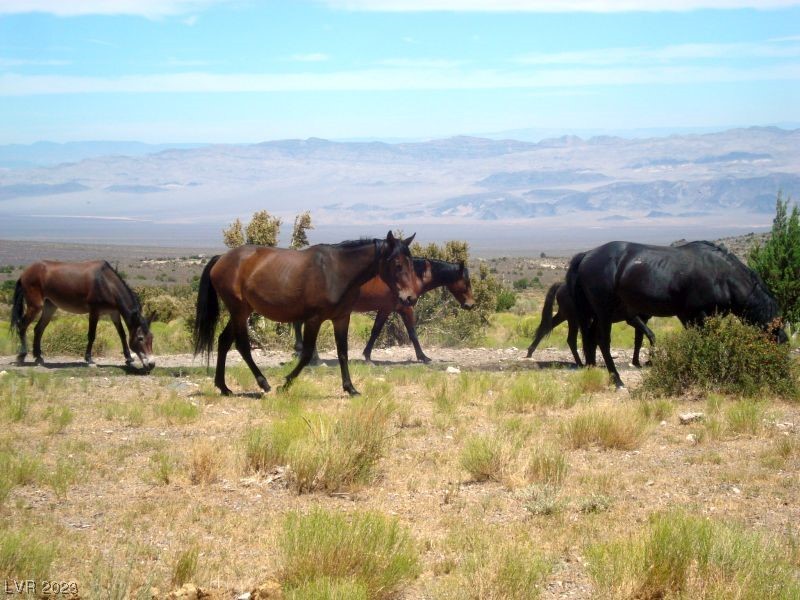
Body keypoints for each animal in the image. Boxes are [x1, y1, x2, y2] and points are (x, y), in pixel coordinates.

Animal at [10, 262, 155, 370]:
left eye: (152, 338)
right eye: (140, 338)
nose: (152, 364)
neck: (107, 282)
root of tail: (25, 273)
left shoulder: (114, 313)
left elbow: (122, 334)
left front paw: (129, 358)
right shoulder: (94, 311)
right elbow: (91, 335)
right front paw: (89, 359)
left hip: (49, 307)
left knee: (38, 329)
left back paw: (39, 358)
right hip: (35, 306)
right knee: (22, 326)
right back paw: (22, 356)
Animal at [194, 232, 418, 396]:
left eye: (411, 262)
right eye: (397, 264)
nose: (410, 298)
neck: (337, 271)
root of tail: (221, 259)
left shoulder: (341, 318)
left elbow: (343, 352)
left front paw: (351, 388)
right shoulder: (313, 320)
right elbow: (307, 353)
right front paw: (285, 383)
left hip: (242, 310)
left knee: (223, 341)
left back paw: (224, 387)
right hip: (239, 311)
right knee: (241, 346)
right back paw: (264, 384)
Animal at [296, 256, 476, 360]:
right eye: (466, 282)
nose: (470, 304)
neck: (412, 278)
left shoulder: (394, 309)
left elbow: (380, 331)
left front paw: (367, 355)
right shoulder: (397, 309)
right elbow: (409, 333)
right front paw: (423, 357)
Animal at [524, 280, 656, 368]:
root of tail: (562, 284)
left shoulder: (643, 319)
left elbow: (639, 341)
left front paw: (637, 362)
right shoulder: (632, 319)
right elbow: (651, 335)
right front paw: (649, 361)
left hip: (563, 315)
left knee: (545, 329)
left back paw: (530, 352)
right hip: (573, 318)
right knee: (571, 340)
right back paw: (580, 363)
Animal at [568, 240, 788, 390]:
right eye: (777, 345)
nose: (781, 375)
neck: (721, 276)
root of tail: (587, 255)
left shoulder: (692, 317)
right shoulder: (697, 315)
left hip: (594, 313)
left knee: (589, 339)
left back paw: (592, 369)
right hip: (604, 311)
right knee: (602, 341)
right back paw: (617, 380)